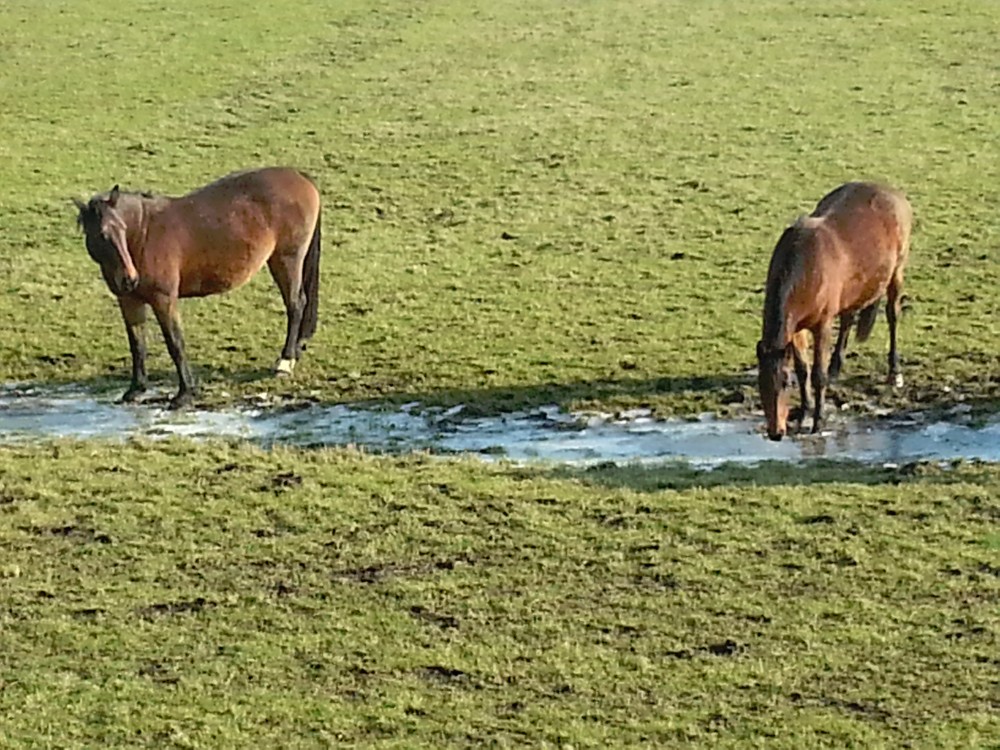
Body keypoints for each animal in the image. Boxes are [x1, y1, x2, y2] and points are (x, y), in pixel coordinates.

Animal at [76, 167, 322, 412]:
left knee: (296, 304)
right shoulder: (129, 301)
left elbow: (175, 343)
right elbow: (137, 345)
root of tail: (299, 175)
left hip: (287, 260)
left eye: (122, 229)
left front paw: (184, 394)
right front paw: (136, 389)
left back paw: (285, 361)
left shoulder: (164, 299)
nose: (129, 278)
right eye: (102, 235)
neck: (143, 235)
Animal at [756, 181, 916, 440]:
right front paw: (804, 413)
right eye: (761, 384)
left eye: (785, 383)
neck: (806, 268)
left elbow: (817, 375)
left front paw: (818, 422)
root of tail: (892, 192)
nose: (776, 432)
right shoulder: (797, 329)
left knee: (892, 316)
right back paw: (836, 367)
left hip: (896, 273)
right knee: (849, 319)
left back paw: (895, 372)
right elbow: (803, 369)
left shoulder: (822, 325)